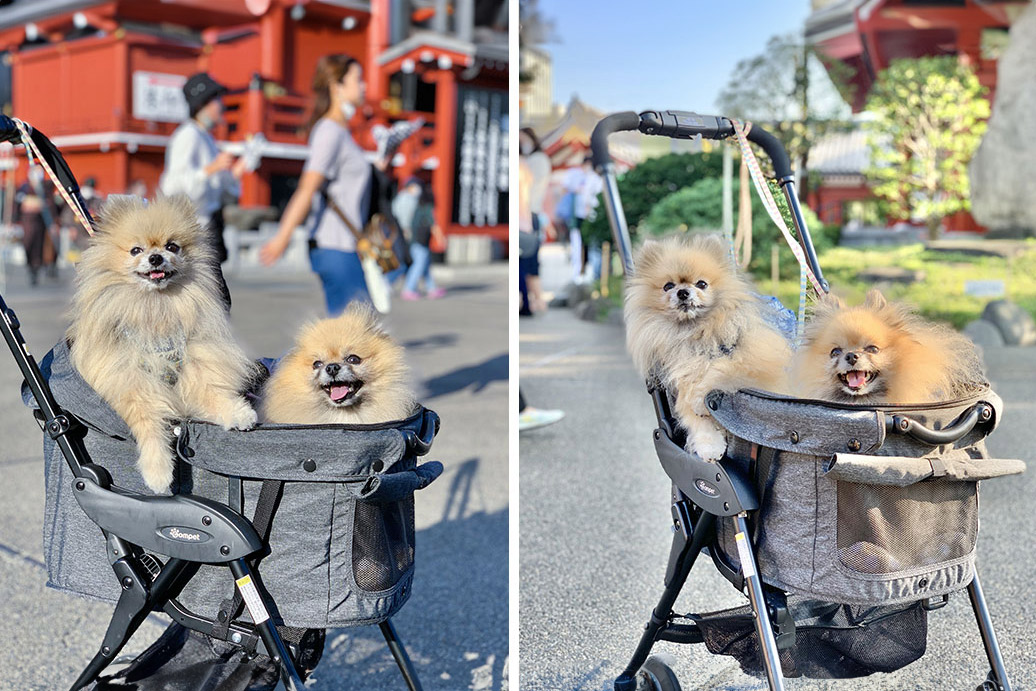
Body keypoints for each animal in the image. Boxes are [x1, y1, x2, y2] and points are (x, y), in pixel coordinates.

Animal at [68, 196, 256, 495]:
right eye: (136, 250)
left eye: (172, 246)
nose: (156, 257)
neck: (156, 309)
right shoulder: (130, 381)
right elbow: (149, 423)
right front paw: (158, 471)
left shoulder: (197, 363)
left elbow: (213, 392)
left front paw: (237, 413)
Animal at [625, 232, 787, 459]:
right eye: (668, 286)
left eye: (701, 284)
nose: (683, 292)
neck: (697, 333)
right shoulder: (683, 379)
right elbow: (696, 420)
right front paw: (709, 447)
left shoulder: (752, 364)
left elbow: (720, 371)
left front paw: (700, 399)